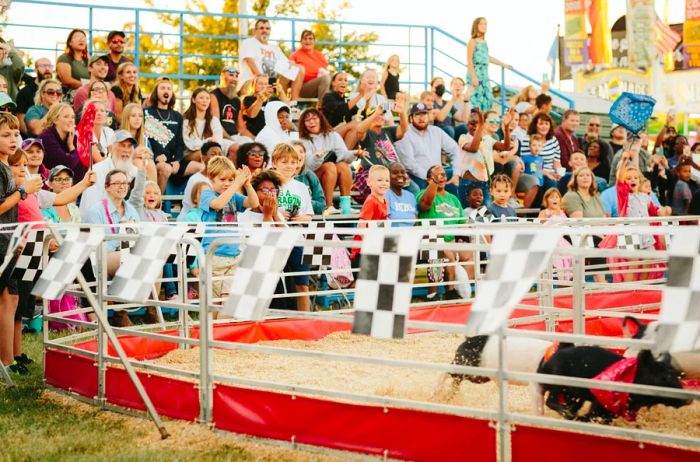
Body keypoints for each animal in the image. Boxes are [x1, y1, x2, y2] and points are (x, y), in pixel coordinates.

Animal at [536, 344, 688, 424]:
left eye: (677, 376)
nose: (687, 399)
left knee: (571, 403)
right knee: (550, 401)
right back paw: (568, 413)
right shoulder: (600, 400)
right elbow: (593, 414)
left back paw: (571, 413)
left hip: (572, 393)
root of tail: (546, 362)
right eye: (664, 378)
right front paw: (581, 419)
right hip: (557, 382)